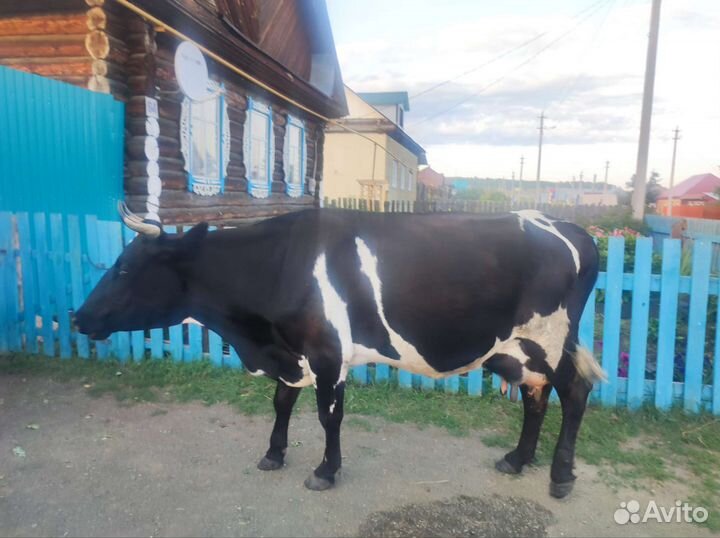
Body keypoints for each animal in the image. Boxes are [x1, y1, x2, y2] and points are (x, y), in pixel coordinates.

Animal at [75, 203, 605, 498]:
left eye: (124, 268)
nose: (78, 318)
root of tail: (565, 225)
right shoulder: (292, 354)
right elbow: (281, 401)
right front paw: (273, 453)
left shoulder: (328, 353)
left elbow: (329, 416)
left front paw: (325, 471)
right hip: (517, 351)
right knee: (536, 396)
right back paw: (517, 459)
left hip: (551, 339)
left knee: (574, 393)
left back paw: (560, 475)